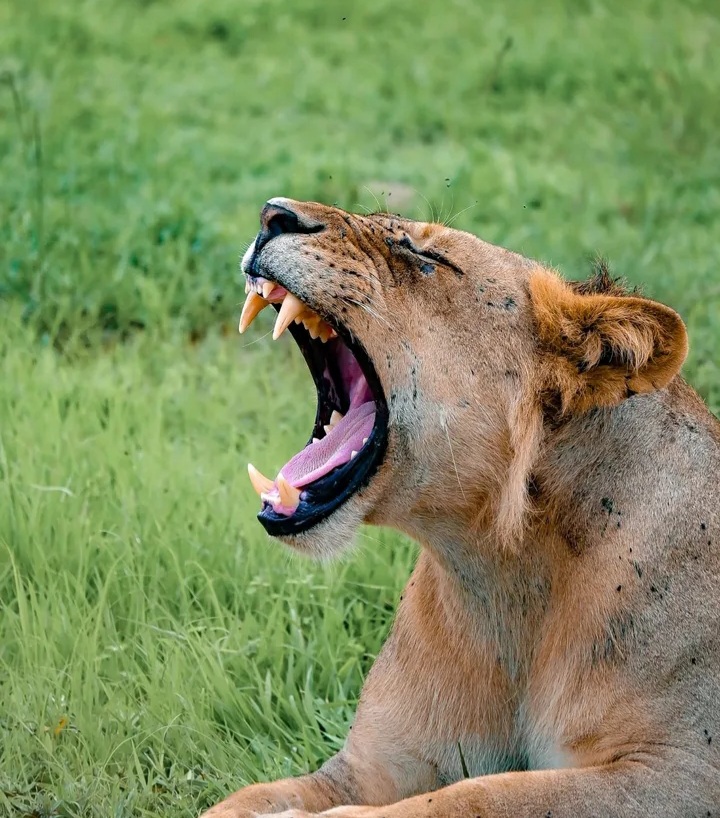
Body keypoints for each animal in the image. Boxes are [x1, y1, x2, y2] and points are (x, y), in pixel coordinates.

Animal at [201, 198, 720, 817]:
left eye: (426, 254)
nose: (272, 214)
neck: (497, 574)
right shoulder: (370, 762)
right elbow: (244, 797)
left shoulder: (680, 773)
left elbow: (481, 796)